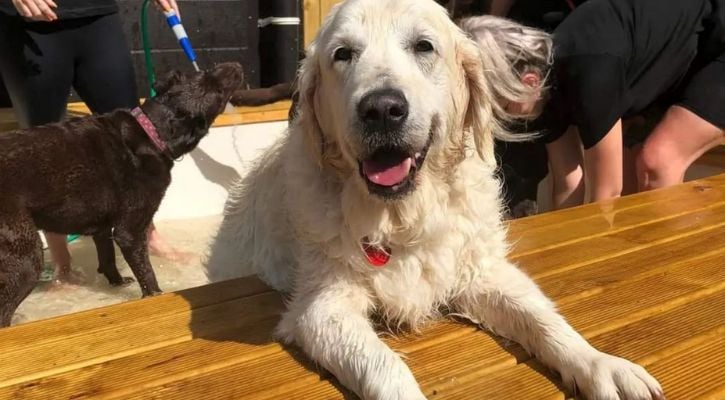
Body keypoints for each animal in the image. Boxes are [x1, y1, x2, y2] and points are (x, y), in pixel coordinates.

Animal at [204, 1, 660, 398]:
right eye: (343, 54)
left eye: (424, 46)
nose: (382, 109)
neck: (401, 216)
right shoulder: (322, 306)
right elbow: (386, 365)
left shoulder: (482, 271)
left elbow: (543, 319)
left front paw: (600, 364)